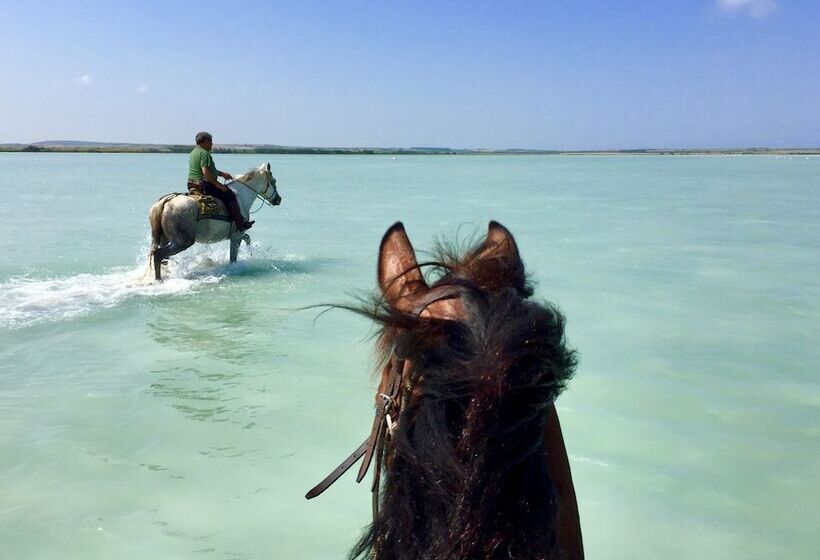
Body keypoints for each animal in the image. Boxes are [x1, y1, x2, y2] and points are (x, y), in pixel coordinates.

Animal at [142, 163, 281, 282]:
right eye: (274, 181)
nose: (278, 199)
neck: (242, 197)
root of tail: (166, 201)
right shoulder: (236, 235)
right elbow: (233, 257)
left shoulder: (239, 234)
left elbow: (247, 238)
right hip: (181, 242)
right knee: (158, 255)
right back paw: (158, 280)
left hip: (164, 239)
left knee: (161, 257)